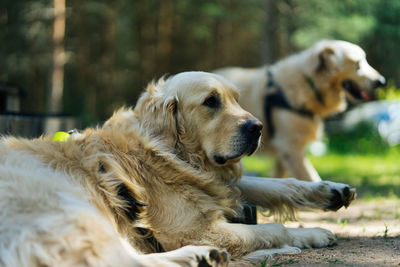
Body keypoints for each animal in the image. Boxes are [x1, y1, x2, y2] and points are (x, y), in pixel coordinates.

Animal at [0, 72, 356, 266]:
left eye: (236, 99)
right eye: (211, 102)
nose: (257, 127)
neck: (172, 152)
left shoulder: (219, 183)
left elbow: (275, 184)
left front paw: (331, 191)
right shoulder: (195, 229)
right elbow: (274, 228)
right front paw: (307, 235)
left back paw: (202, 258)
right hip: (71, 206)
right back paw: (203, 256)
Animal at [217, 39, 386, 182]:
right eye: (358, 63)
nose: (382, 81)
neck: (309, 82)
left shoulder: (284, 151)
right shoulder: (291, 146)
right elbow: (310, 177)